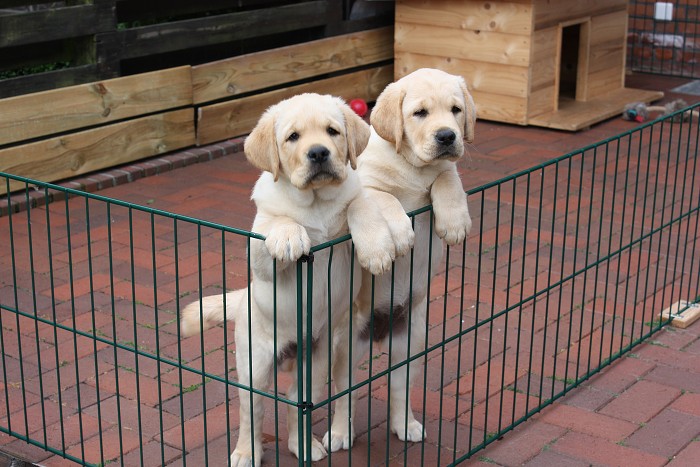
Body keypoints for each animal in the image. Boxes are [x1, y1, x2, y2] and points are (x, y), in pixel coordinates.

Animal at [180, 93, 413, 466]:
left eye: (332, 132)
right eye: (292, 137)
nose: (318, 153)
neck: (315, 202)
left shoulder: (350, 214)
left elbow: (360, 204)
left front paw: (377, 249)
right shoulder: (259, 250)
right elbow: (279, 223)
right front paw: (290, 236)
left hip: (316, 366)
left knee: (294, 404)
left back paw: (304, 445)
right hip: (253, 364)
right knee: (252, 411)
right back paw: (246, 452)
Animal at [323, 68, 476, 451]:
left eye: (456, 110)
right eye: (420, 113)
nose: (447, 136)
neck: (413, 167)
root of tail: (381, 332)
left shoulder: (442, 171)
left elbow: (448, 177)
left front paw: (454, 223)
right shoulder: (366, 187)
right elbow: (386, 200)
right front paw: (396, 240)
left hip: (412, 346)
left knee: (399, 389)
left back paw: (406, 424)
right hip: (345, 350)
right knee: (346, 397)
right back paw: (339, 434)